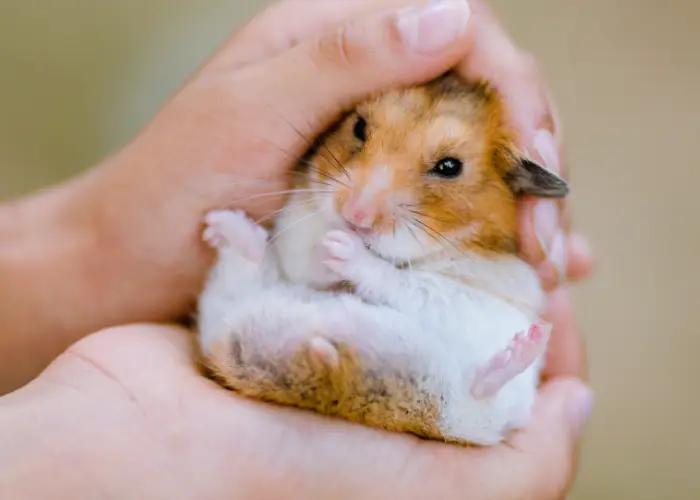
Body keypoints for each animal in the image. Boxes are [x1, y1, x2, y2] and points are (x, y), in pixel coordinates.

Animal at [195, 73, 569, 446]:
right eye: (359, 127)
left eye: (450, 167)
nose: (354, 216)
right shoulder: (295, 232)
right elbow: (306, 259)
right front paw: (328, 243)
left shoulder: (477, 294)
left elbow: (405, 281)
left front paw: (340, 247)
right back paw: (223, 227)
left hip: (484, 410)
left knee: (482, 392)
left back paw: (526, 345)